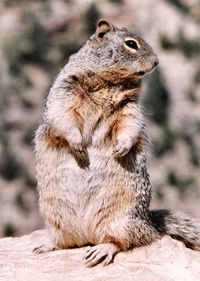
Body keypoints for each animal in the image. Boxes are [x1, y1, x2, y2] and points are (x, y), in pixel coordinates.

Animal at [33, 19, 199, 264]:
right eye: (131, 44)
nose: (157, 62)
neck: (109, 82)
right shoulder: (65, 89)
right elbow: (62, 115)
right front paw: (78, 146)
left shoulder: (129, 105)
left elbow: (130, 123)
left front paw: (121, 149)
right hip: (57, 218)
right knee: (68, 242)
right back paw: (48, 245)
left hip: (122, 218)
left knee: (123, 240)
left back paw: (103, 249)